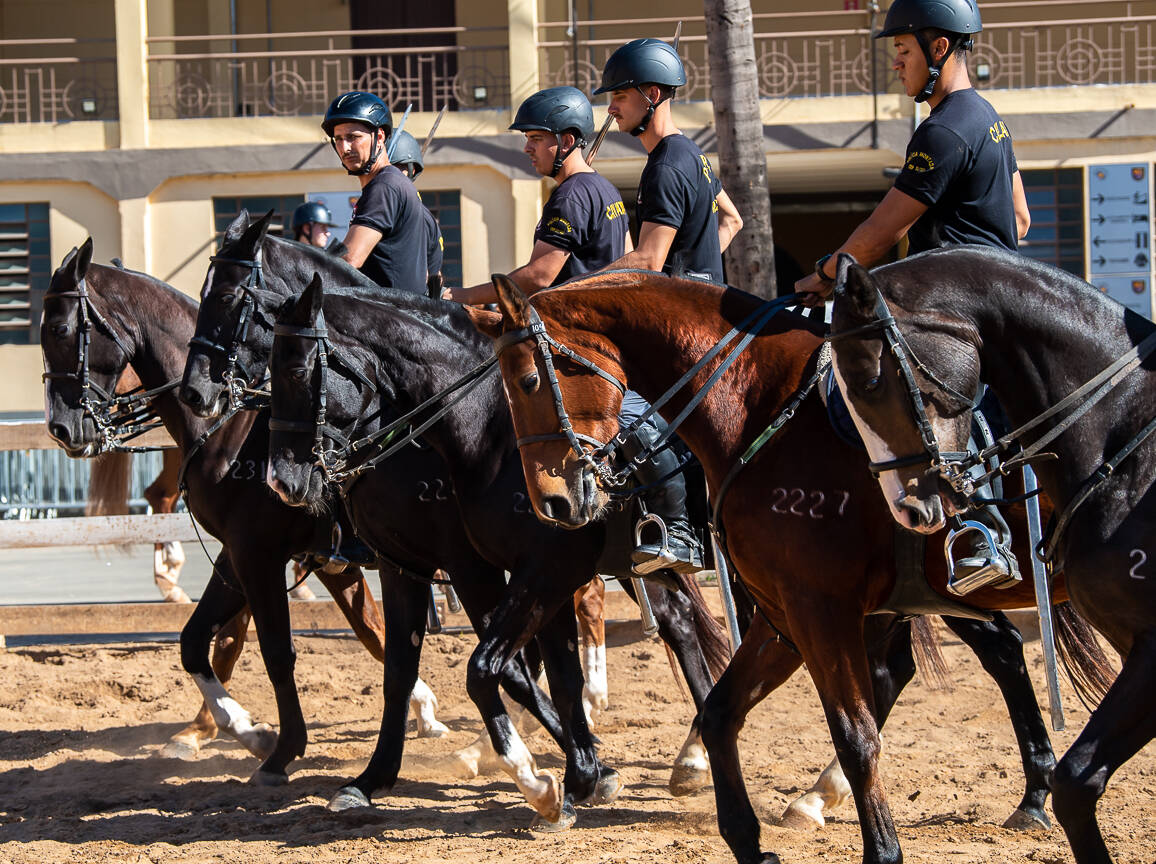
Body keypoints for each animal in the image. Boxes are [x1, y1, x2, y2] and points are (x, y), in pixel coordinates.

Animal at [37, 239, 541, 786]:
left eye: (59, 329)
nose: (61, 429)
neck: (233, 430)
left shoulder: (259, 553)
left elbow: (271, 647)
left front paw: (278, 746)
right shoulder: (268, 555)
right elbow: (206, 640)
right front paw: (242, 730)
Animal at [183, 212, 730, 828]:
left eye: (230, 298)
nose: (197, 390)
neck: (475, 426)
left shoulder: (493, 568)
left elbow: (502, 666)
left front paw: (552, 776)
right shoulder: (406, 564)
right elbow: (410, 667)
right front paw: (374, 778)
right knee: (682, 625)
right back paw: (691, 756)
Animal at [464, 270, 1114, 864]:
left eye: (527, 381)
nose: (553, 504)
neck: (759, 407)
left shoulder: (817, 609)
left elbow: (855, 736)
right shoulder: (782, 614)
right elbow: (719, 712)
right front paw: (746, 839)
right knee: (978, 656)